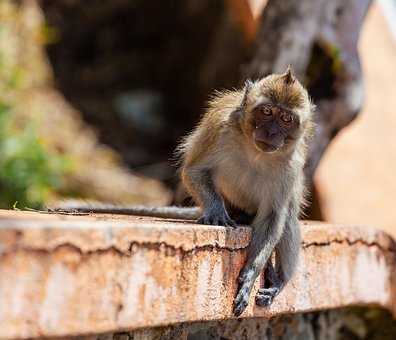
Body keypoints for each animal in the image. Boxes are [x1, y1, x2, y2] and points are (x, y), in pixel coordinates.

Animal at [51, 65, 314, 316]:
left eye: (286, 119)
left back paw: (279, 281)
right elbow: (194, 172)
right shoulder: (221, 128)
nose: (271, 133)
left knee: (288, 216)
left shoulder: (291, 164)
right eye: (267, 112)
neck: (255, 151)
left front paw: (251, 274)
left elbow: (273, 216)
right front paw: (215, 213)